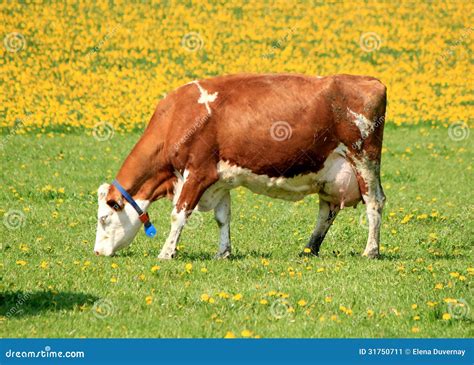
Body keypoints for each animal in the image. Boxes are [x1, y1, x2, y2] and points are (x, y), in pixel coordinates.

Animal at [93, 72, 386, 258]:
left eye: (103, 218)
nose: (96, 252)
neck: (178, 117)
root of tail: (370, 80)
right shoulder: (220, 180)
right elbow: (223, 218)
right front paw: (223, 252)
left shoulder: (197, 172)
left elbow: (179, 214)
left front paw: (166, 252)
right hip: (331, 173)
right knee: (326, 211)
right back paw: (309, 249)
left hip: (364, 160)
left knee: (375, 202)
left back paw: (370, 251)